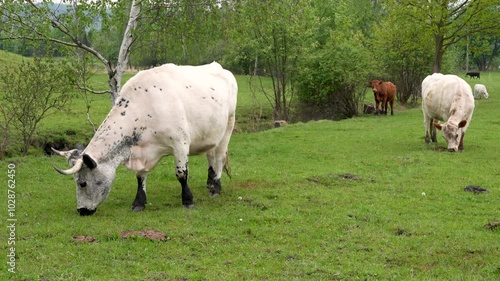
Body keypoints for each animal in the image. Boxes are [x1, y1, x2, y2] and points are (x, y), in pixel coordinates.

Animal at [52, 61, 238, 214]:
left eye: (82, 183)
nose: (82, 210)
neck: (143, 108)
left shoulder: (180, 144)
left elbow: (181, 174)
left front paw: (188, 200)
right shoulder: (140, 151)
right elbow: (140, 176)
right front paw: (139, 202)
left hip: (228, 127)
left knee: (219, 157)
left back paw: (216, 187)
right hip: (211, 134)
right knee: (211, 156)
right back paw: (210, 182)